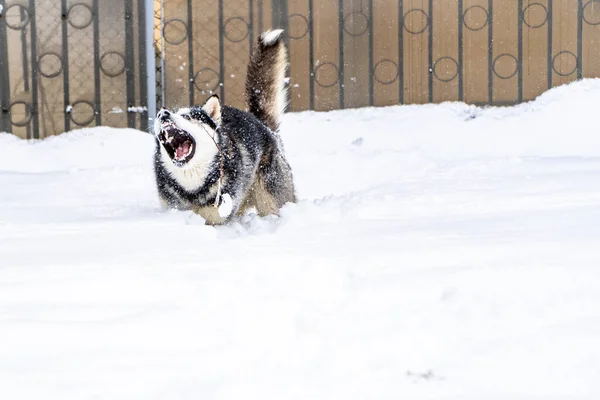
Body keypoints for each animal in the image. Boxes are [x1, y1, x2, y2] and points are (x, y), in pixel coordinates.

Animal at [154, 29, 296, 225]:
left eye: (188, 117)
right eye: (162, 114)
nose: (163, 114)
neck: (192, 187)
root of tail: (262, 124)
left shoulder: (217, 216)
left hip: (270, 200)